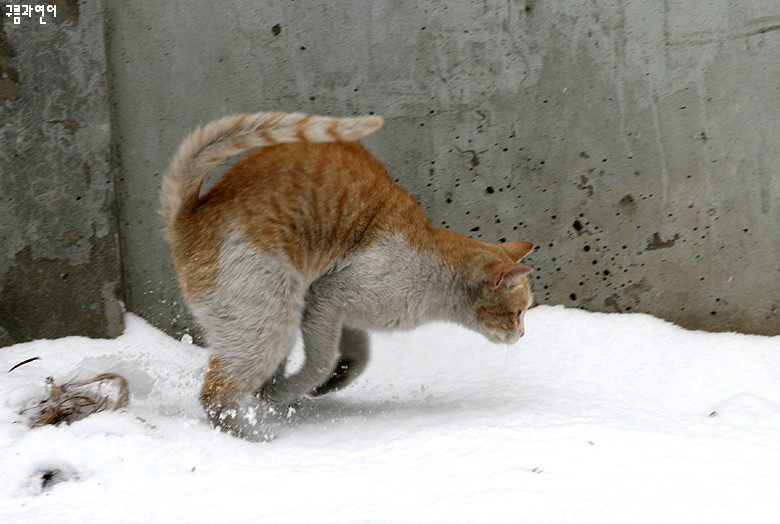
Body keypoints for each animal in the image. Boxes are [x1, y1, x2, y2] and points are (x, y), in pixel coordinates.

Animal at [160, 111, 536, 438]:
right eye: (518, 313)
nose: (522, 335)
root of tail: (189, 215)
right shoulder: (326, 297)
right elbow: (321, 362)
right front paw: (288, 392)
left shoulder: (345, 315)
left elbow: (357, 358)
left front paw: (323, 386)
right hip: (270, 319)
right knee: (215, 396)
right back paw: (258, 434)